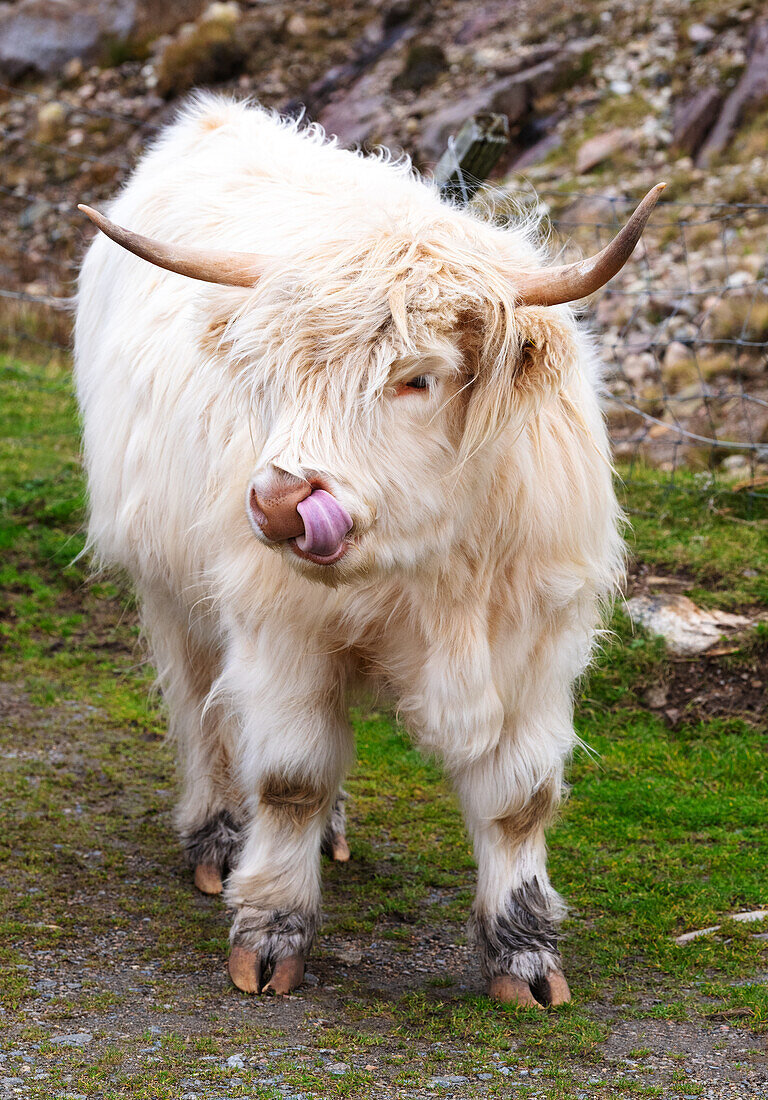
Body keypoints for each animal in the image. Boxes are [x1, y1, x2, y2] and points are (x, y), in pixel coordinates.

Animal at [77, 94, 660, 1007]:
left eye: (416, 377)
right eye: (270, 375)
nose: (279, 504)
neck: (439, 570)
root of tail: (216, 116)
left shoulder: (536, 644)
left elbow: (520, 799)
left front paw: (525, 958)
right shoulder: (281, 631)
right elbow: (290, 779)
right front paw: (270, 937)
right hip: (170, 588)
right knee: (203, 710)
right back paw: (217, 838)